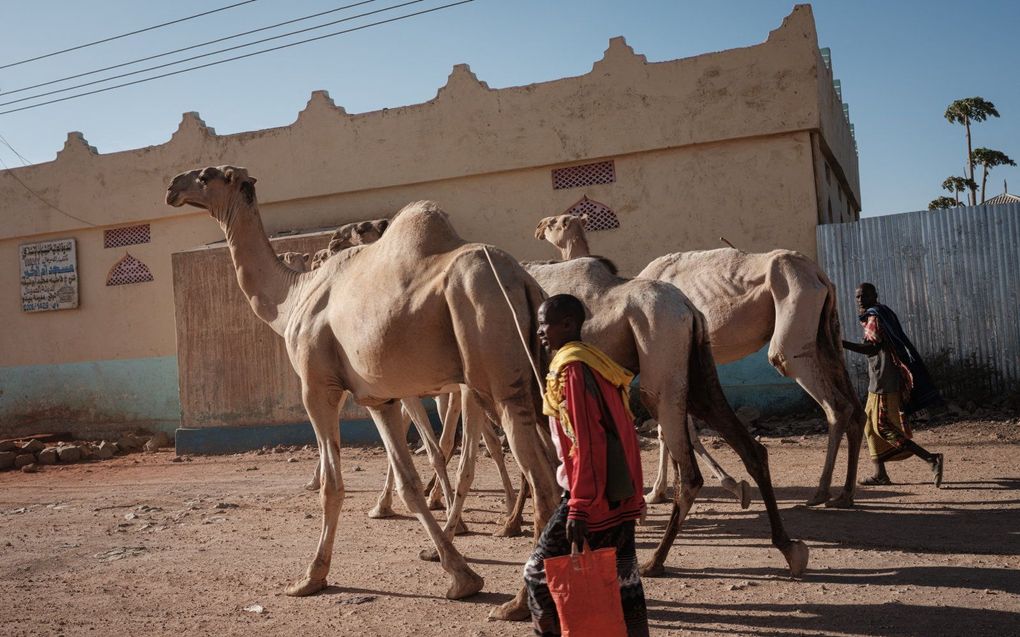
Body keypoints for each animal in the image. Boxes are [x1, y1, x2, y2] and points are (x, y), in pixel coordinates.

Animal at [164, 166, 558, 615]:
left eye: (207, 175)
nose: (172, 187)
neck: (292, 298)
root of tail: (525, 281)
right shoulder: (379, 398)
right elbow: (408, 483)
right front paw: (462, 577)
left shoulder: (317, 386)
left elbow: (332, 487)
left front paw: (311, 577)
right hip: (530, 384)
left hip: (494, 369)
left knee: (543, 482)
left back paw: (518, 603)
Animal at [538, 214, 864, 507]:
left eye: (556, 222)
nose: (538, 228)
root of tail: (820, 275)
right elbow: (672, 428)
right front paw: (669, 490)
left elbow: (672, 429)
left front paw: (664, 491)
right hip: (827, 329)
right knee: (852, 401)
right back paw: (845, 493)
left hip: (793, 302)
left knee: (818, 389)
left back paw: (821, 492)